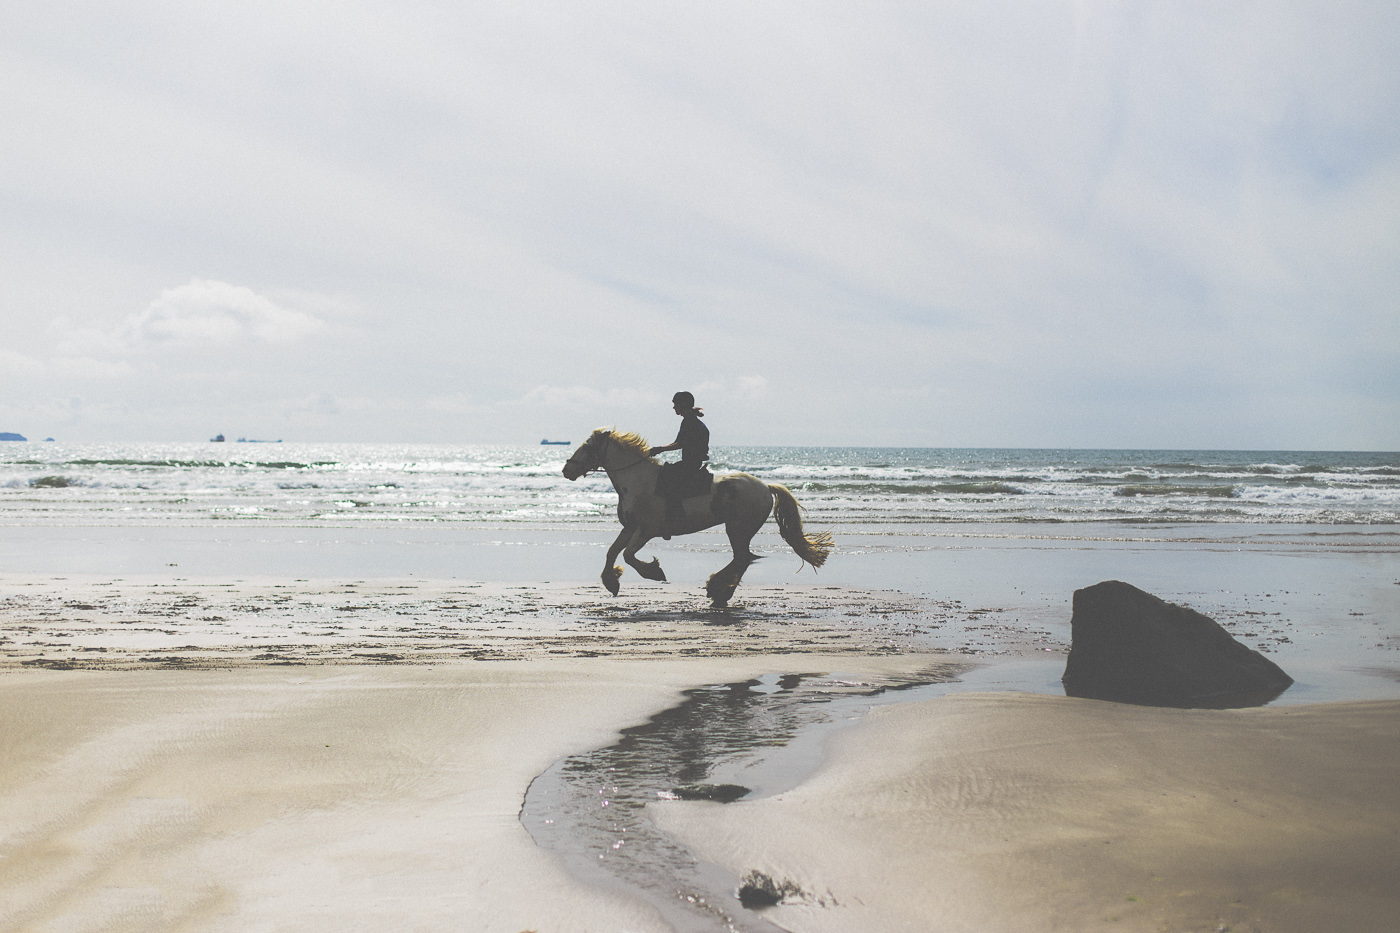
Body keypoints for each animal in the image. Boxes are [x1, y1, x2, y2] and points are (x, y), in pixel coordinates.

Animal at [557, 425, 828, 607]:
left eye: (587, 447)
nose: (566, 470)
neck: (637, 480)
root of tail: (765, 487)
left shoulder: (646, 531)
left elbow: (628, 555)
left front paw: (654, 572)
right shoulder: (630, 528)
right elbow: (612, 552)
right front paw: (611, 582)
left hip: (737, 528)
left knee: (742, 559)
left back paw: (717, 591)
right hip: (738, 529)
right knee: (742, 559)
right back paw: (719, 592)